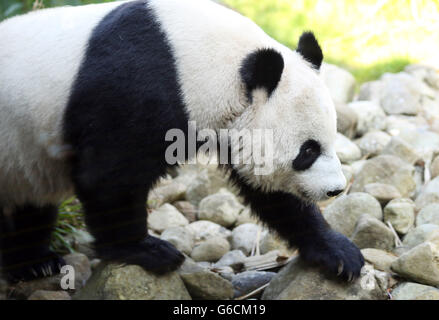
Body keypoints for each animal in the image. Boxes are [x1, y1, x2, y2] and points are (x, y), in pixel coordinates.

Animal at [0, 0, 364, 282]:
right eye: (308, 150)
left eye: (331, 140)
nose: (335, 190)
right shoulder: (132, 89)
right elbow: (107, 176)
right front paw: (146, 250)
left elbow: (272, 193)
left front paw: (338, 253)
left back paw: (36, 263)